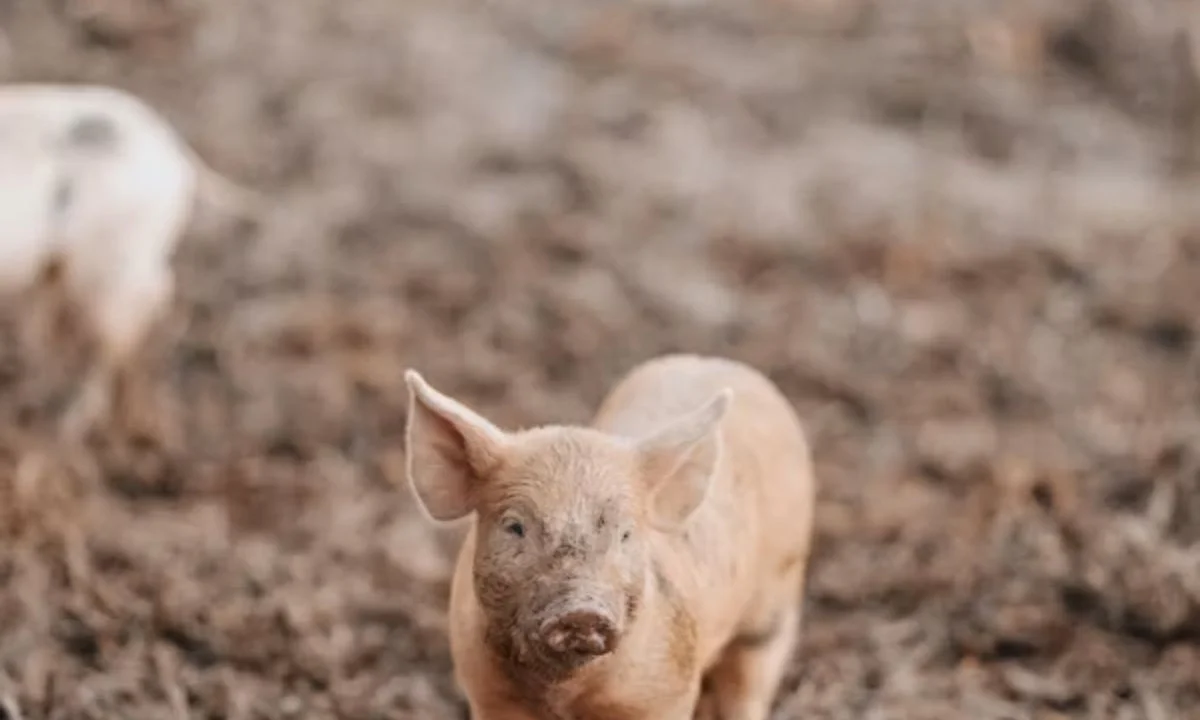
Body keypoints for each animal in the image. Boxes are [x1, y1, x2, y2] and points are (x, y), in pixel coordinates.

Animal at [403, 354, 816, 720]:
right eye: (515, 527)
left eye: (626, 533)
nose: (581, 610)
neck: (564, 692)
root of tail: (718, 363)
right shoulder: (488, 692)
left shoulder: (662, 693)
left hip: (775, 602)